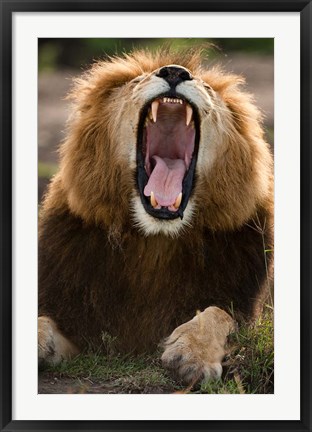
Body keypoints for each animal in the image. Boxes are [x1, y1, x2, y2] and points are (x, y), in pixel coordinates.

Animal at [38, 49, 272, 386]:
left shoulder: (243, 306)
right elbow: (42, 319)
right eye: (137, 82)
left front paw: (191, 354)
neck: (155, 240)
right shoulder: (74, 318)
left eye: (207, 88)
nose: (175, 72)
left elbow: (219, 313)